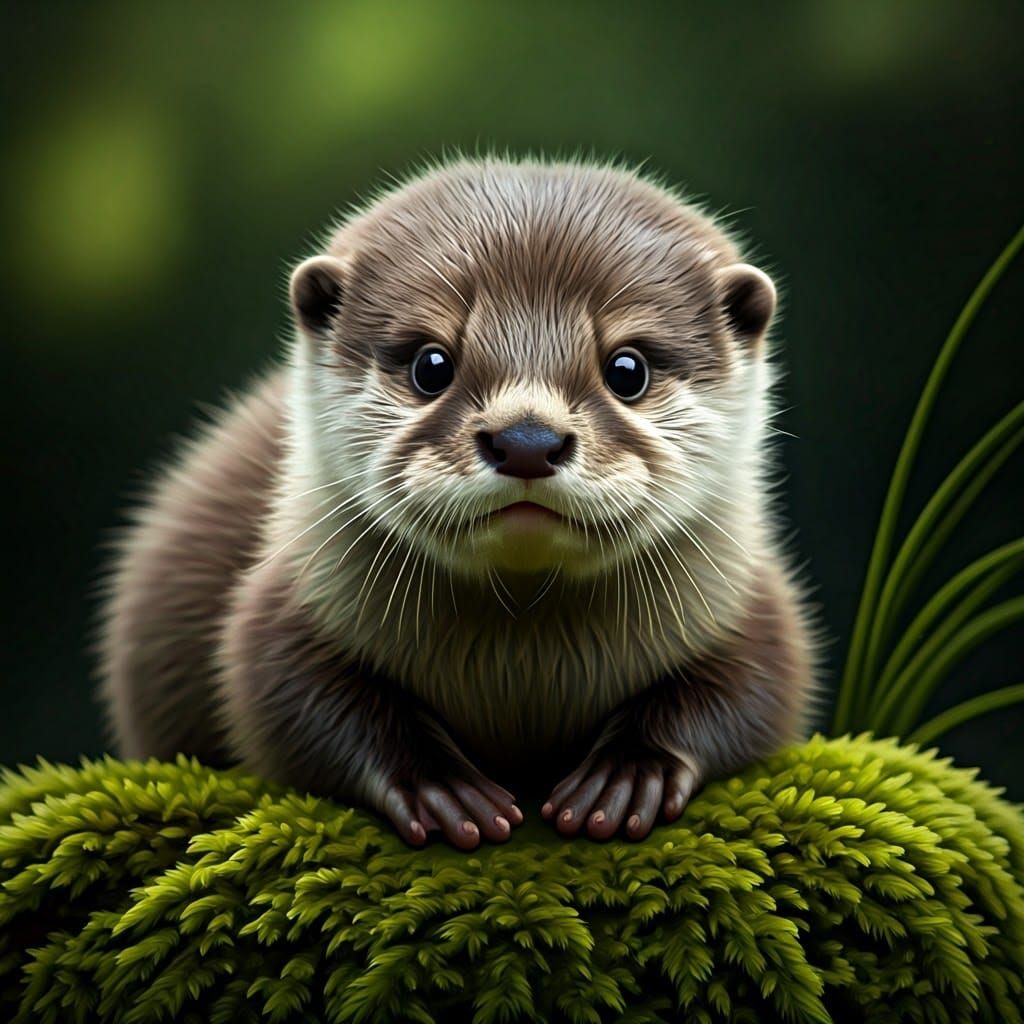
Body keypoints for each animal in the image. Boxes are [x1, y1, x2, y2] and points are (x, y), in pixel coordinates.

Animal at [98, 157, 815, 850]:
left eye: (628, 369)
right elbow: (288, 698)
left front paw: (629, 774)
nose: (527, 439)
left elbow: (755, 690)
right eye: (431, 364)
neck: (519, 671)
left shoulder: (752, 605)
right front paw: (439, 787)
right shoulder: (284, 605)